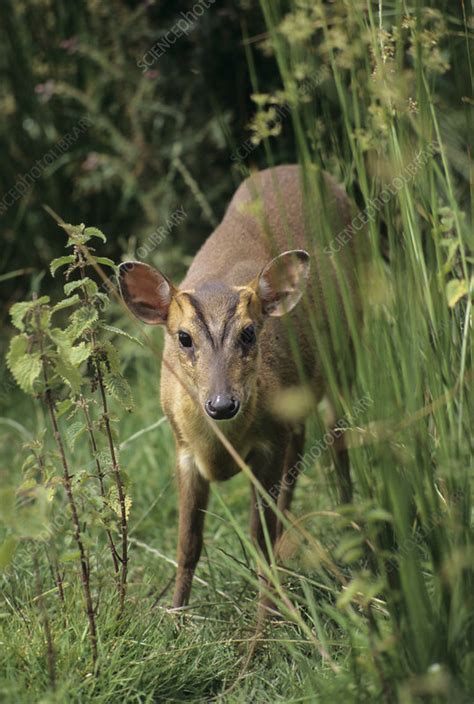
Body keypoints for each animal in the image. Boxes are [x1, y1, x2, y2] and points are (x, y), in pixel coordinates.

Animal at [118, 165, 360, 612]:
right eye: (183, 337)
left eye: (249, 332)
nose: (221, 403)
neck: (219, 448)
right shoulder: (182, 448)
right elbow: (187, 544)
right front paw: (175, 614)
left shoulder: (269, 443)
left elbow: (257, 537)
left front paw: (269, 616)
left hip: (345, 356)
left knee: (337, 445)